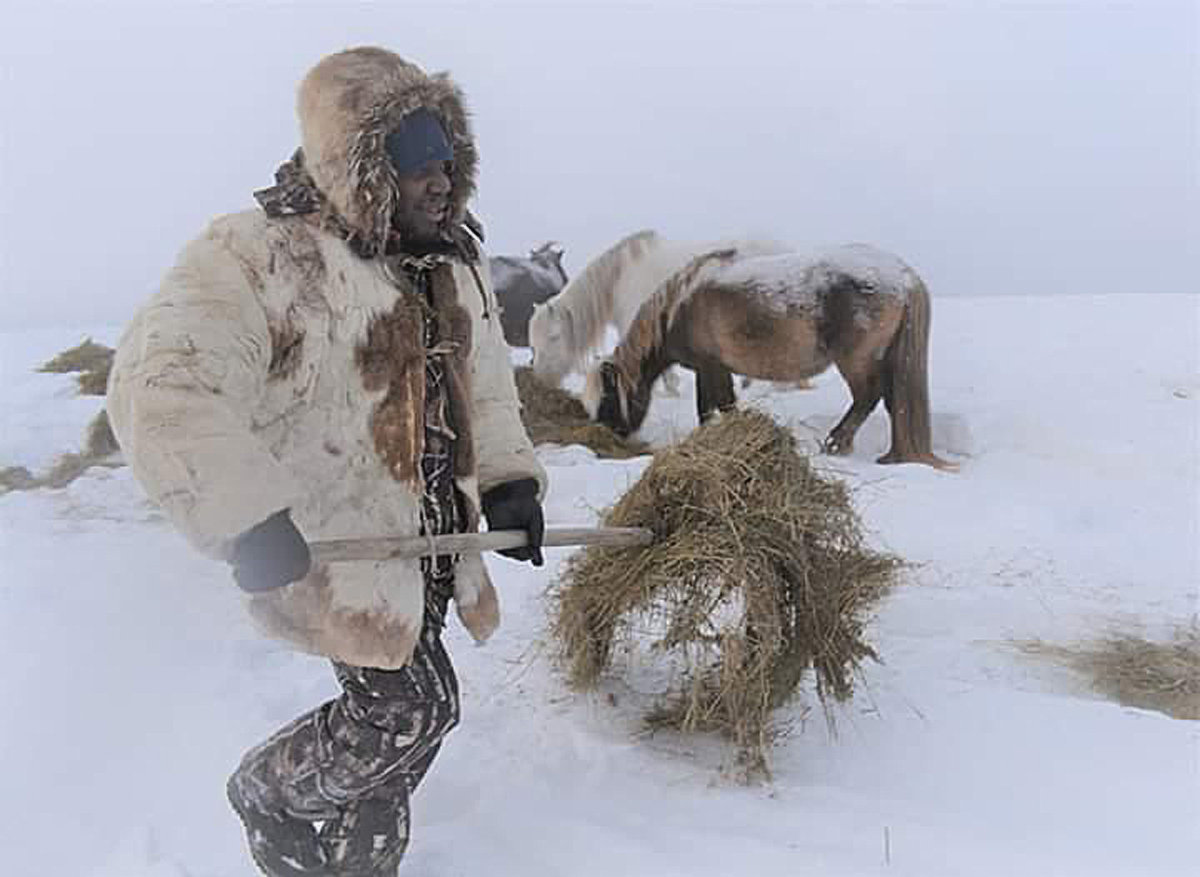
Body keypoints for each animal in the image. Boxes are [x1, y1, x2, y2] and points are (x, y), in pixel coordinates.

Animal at [580, 239, 955, 470]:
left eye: (608, 398)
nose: (609, 434)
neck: (678, 308)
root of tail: (903, 276)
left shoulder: (709, 366)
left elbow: (711, 407)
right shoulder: (714, 368)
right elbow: (721, 405)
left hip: (856, 362)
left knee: (868, 397)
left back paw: (836, 444)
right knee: (892, 402)